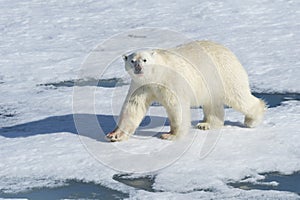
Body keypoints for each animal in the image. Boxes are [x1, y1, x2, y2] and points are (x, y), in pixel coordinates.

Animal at [106, 40, 266, 142]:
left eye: (144, 60)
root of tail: (229, 52)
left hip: (224, 74)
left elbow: (177, 106)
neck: (157, 75)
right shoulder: (142, 85)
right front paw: (115, 135)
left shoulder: (171, 81)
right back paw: (205, 124)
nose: (138, 67)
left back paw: (252, 120)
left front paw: (171, 135)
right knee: (212, 103)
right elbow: (133, 107)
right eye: (132, 61)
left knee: (238, 96)